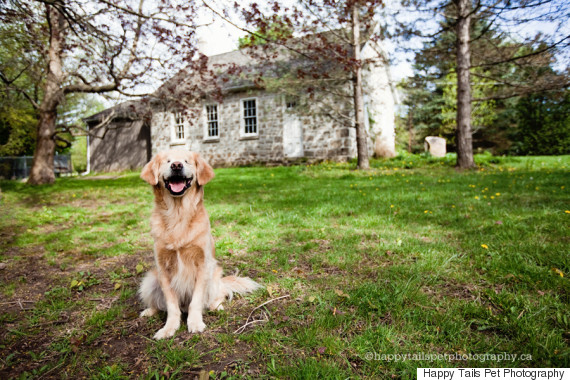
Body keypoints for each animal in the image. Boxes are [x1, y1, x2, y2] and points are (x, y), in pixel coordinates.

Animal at [139, 148, 260, 338]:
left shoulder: (203, 264)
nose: (176, 165)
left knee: (218, 295)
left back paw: (217, 306)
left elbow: (196, 301)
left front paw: (195, 323)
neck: (178, 214)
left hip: (214, 276)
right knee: (159, 304)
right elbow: (171, 304)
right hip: (150, 280)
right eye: (168, 161)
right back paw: (149, 310)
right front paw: (169, 328)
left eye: (186, 161)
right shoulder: (163, 268)